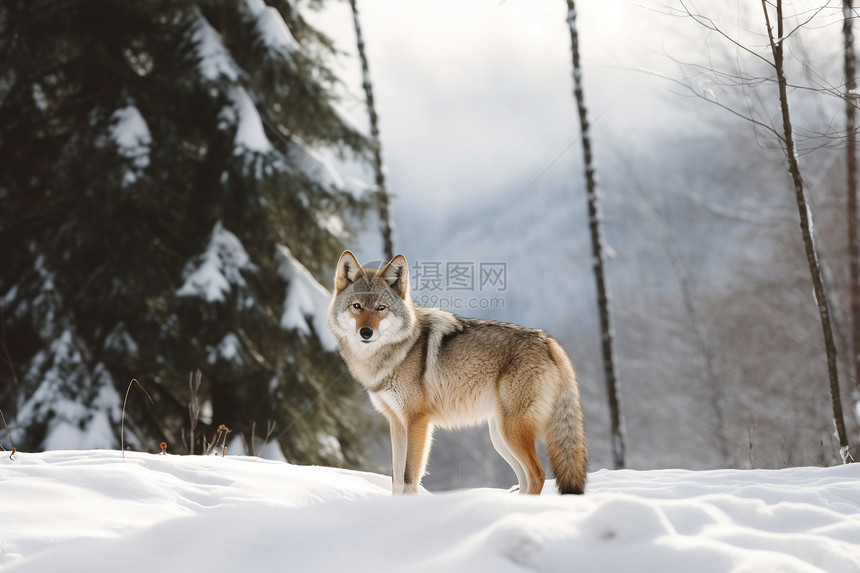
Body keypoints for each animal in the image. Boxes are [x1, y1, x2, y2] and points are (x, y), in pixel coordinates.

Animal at [326, 252, 588, 494]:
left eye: (381, 308)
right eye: (357, 306)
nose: (366, 332)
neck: (391, 355)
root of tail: (549, 341)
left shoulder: (417, 420)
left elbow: (409, 478)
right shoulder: (396, 422)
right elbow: (396, 480)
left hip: (510, 432)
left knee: (538, 474)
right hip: (500, 437)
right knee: (524, 479)